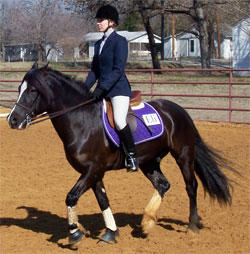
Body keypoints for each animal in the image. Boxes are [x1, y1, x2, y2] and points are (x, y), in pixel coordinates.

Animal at [7, 63, 234, 246]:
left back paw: (192, 227)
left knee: (191, 186)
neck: (82, 120)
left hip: (183, 154)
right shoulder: (93, 172)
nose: (12, 119)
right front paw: (111, 233)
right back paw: (147, 222)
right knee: (163, 184)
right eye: (19, 89)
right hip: (149, 162)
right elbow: (103, 200)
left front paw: (75, 234)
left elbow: (71, 197)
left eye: (33, 90)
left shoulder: (92, 170)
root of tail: (178, 109)